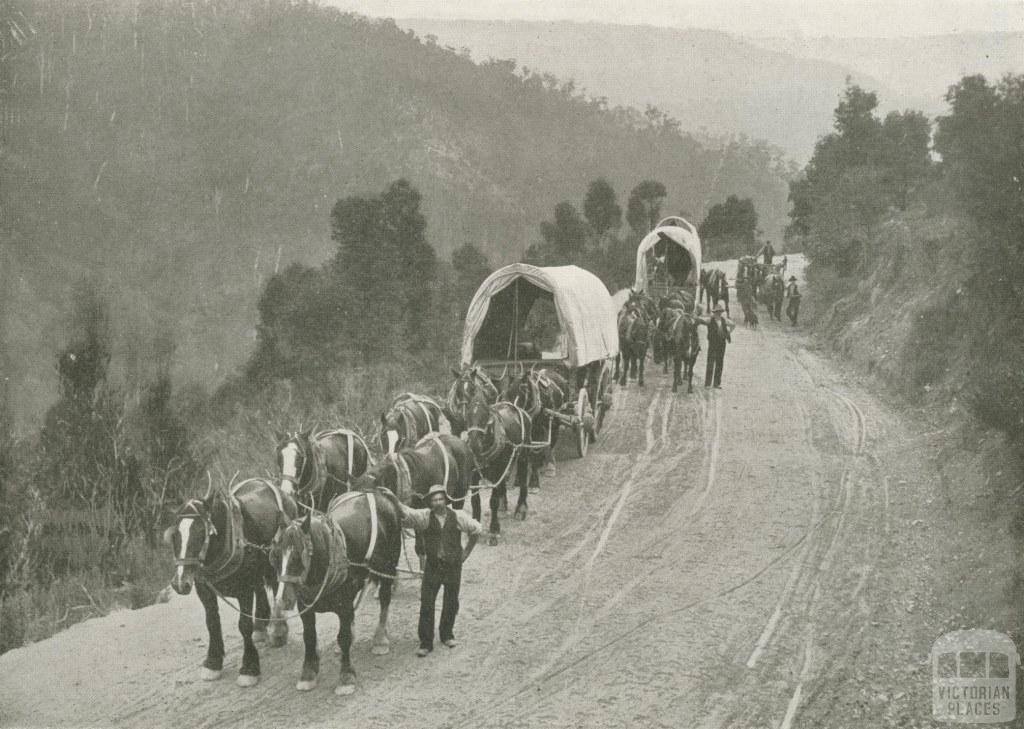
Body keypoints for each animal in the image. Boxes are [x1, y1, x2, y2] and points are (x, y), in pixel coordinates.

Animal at [161, 475, 294, 688]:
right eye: (175, 535)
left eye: (201, 532)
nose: (180, 583)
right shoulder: (204, 590)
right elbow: (212, 623)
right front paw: (213, 662)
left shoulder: (244, 590)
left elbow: (243, 625)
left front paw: (249, 668)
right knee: (260, 588)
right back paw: (260, 627)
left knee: (275, 586)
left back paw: (278, 630)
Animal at [270, 483, 401, 696]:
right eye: (274, 556)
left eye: (298, 557)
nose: (282, 600)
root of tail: (376, 493)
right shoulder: (305, 607)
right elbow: (309, 636)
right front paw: (308, 673)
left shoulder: (344, 606)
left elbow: (344, 636)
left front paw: (346, 677)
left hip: (387, 568)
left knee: (384, 599)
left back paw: (381, 639)